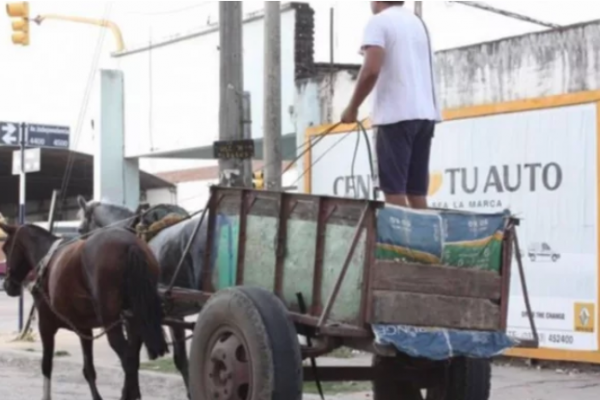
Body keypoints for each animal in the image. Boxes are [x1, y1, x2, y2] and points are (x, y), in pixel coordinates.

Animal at [0, 222, 169, 400]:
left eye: (5, 247)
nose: (7, 285)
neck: (46, 259)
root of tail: (130, 244)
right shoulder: (84, 328)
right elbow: (89, 369)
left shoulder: (46, 325)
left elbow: (46, 365)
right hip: (135, 318)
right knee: (133, 355)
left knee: (127, 358)